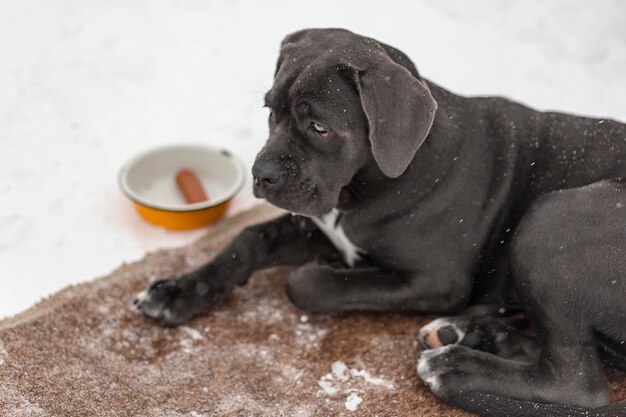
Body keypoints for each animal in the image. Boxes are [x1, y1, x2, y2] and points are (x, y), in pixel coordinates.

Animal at [136, 27, 624, 414]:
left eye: (319, 127)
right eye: (269, 110)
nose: (262, 174)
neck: (364, 187)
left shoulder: (433, 281)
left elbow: (306, 282)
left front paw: (329, 270)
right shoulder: (321, 224)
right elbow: (248, 239)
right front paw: (177, 292)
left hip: (553, 219)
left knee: (578, 381)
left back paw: (453, 367)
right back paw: (472, 333)